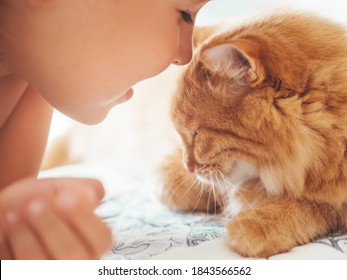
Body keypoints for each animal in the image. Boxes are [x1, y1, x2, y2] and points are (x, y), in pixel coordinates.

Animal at [160, 12, 347, 258]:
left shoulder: (335, 199)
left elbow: (310, 205)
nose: (188, 166)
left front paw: (255, 226)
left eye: (197, 133)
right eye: (184, 134)